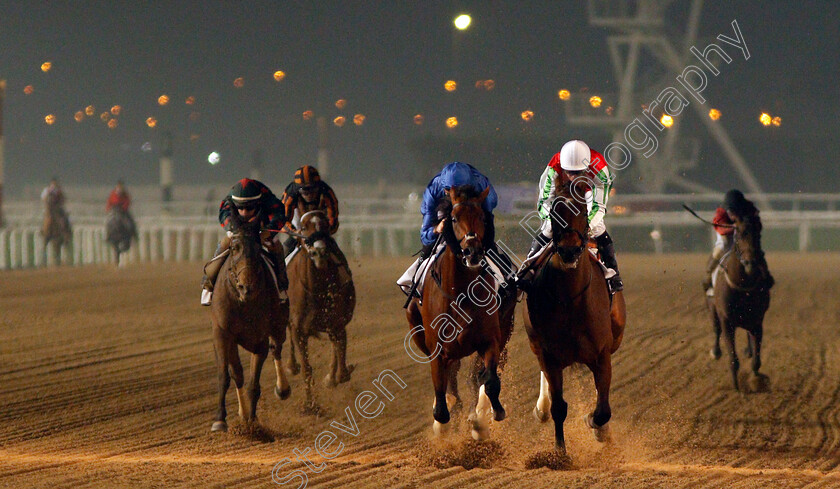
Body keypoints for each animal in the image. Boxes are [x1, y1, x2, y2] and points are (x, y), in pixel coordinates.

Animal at [208, 209, 290, 430]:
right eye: (234, 247)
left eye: (257, 248)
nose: (247, 287)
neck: (242, 302)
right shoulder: (222, 333)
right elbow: (226, 374)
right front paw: (220, 419)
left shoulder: (259, 339)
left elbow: (254, 383)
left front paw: (253, 424)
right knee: (237, 372)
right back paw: (242, 412)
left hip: (279, 325)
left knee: (277, 348)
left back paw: (282, 389)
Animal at [288, 210, 356, 412]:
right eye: (304, 227)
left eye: (325, 225)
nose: (320, 253)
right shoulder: (298, 329)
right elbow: (306, 369)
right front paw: (309, 405)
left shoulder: (337, 321)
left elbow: (340, 353)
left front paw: (337, 375)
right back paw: (291, 366)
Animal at [404, 186, 516, 438]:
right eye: (453, 218)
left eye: (482, 217)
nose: (472, 251)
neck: (461, 293)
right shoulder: (437, 348)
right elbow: (441, 401)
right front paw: (444, 424)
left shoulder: (490, 340)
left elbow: (488, 380)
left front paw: (486, 417)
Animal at [524, 181, 624, 464]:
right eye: (555, 213)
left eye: (582, 210)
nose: (569, 251)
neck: (570, 298)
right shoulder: (550, 355)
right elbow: (559, 406)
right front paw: (559, 453)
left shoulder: (602, 354)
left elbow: (603, 410)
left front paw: (596, 426)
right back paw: (541, 408)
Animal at [704, 212, 772, 390]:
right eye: (739, 234)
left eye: (758, 234)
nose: (750, 262)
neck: (743, 287)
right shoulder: (727, 321)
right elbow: (733, 359)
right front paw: (736, 387)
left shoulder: (757, 321)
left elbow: (757, 360)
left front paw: (756, 380)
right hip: (712, 307)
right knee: (716, 328)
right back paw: (716, 352)